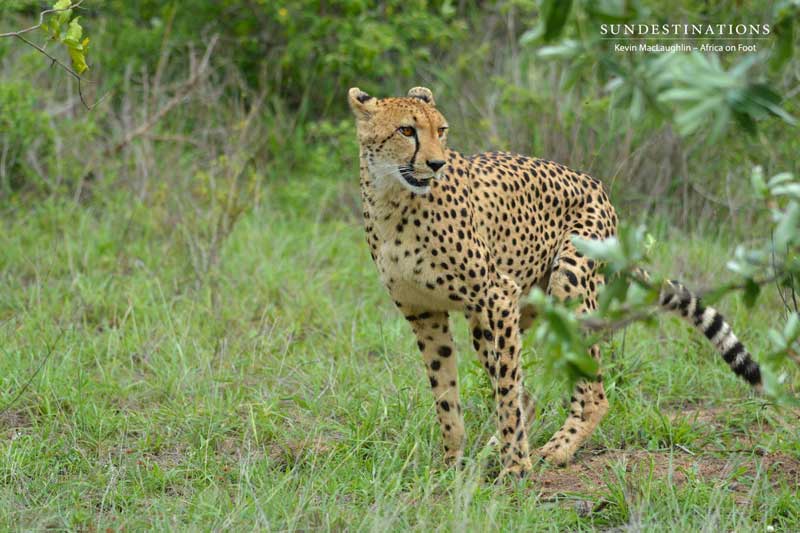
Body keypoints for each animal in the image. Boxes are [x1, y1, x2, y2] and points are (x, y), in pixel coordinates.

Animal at [348, 86, 762, 478]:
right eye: (407, 131)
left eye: (441, 130)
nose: (437, 163)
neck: (393, 201)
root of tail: (595, 182)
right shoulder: (424, 314)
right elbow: (446, 394)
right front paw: (452, 463)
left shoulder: (499, 294)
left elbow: (506, 390)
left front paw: (517, 467)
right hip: (497, 316)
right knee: (528, 395)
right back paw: (495, 449)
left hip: (568, 285)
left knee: (591, 392)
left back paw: (556, 449)